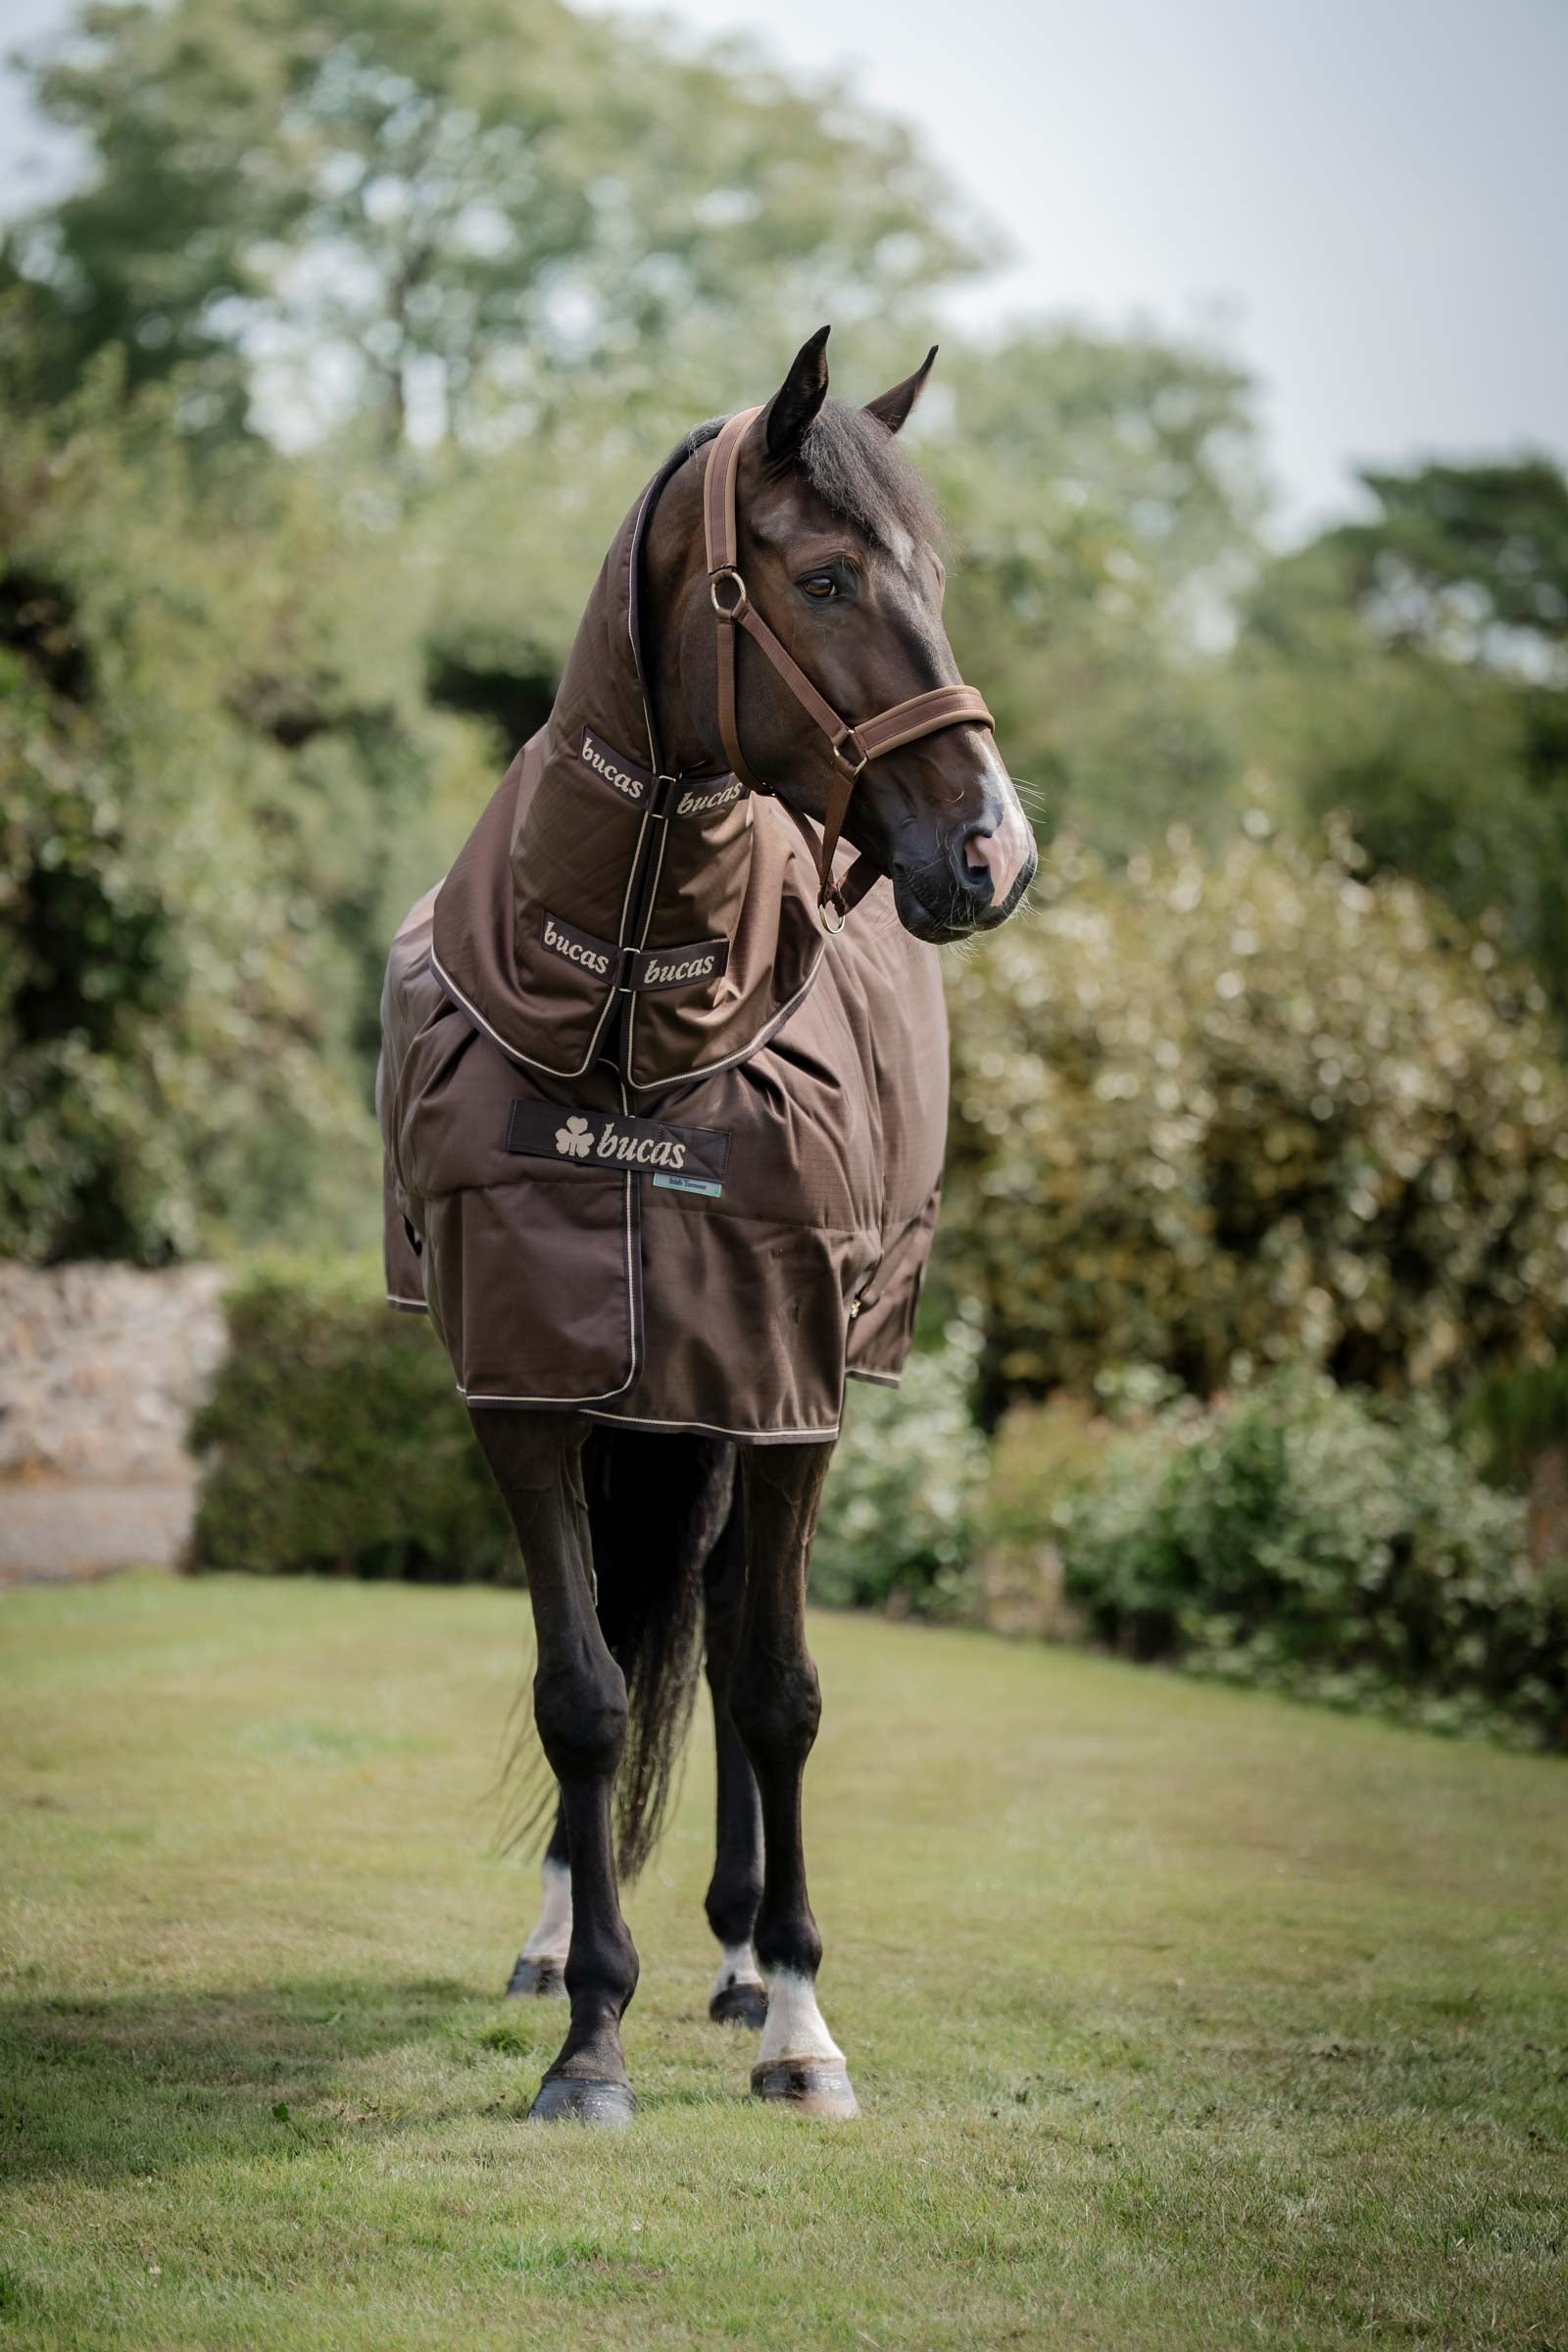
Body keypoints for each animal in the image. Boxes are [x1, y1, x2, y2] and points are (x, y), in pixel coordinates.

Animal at [379, 325, 1035, 2125]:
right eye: (823, 577)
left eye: (932, 577)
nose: (995, 852)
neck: (630, 1028)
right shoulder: (527, 1385)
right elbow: (585, 1692)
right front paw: (588, 2031)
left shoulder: (786, 1386)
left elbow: (778, 1689)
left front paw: (803, 2019)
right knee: (637, 1623)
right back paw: (564, 1944)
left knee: (735, 1629)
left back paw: (746, 1960)